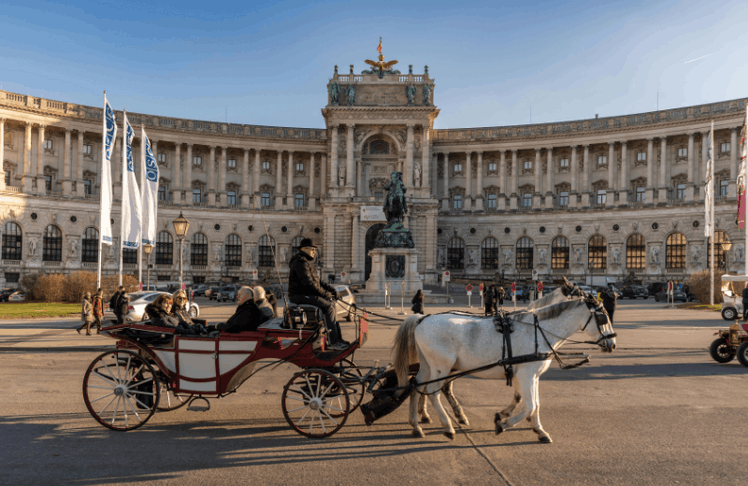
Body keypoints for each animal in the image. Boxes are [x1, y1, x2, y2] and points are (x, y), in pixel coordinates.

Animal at [392, 290, 612, 442]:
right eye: (603, 317)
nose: (613, 343)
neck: (539, 330)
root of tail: (422, 318)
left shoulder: (532, 375)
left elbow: (535, 403)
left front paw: (539, 430)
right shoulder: (525, 375)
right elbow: (530, 405)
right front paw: (503, 423)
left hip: (428, 365)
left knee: (416, 386)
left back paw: (416, 425)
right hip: (441, 367)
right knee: (433, 392)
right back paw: (448, 426)